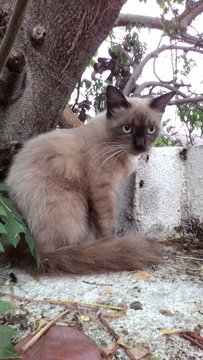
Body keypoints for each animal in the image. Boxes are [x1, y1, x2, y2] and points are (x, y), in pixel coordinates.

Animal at [5, 86, 175, 274]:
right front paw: (112, 245)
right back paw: (97, 251)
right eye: (127, 128)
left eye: (151, 130)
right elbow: (108, 224)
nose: (140, 146)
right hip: (71, 203)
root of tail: (34, 252)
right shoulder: (101, 190)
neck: (115, 146)